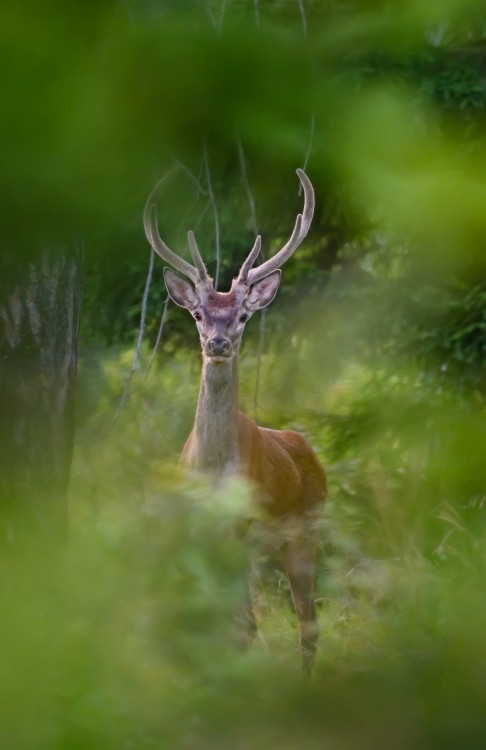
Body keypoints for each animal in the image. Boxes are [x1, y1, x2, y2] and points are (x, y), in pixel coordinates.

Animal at [144, 169, 326, 676]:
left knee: (307, 621)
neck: (212, 468)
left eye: (243, 315)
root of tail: (309, 451)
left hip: (306, 530)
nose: (219, 343)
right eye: (198, 313)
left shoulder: (240, 528)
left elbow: (242, 629)